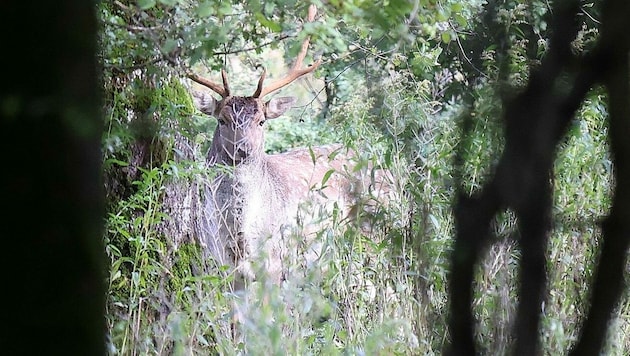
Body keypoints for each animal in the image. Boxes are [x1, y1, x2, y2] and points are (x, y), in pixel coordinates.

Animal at [190, 5, 392, 290]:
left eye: (261, 121)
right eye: (222, 120)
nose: (244, 149)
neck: (238, 237)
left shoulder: (273, 264)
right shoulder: (221, 267)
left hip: (375, 228)